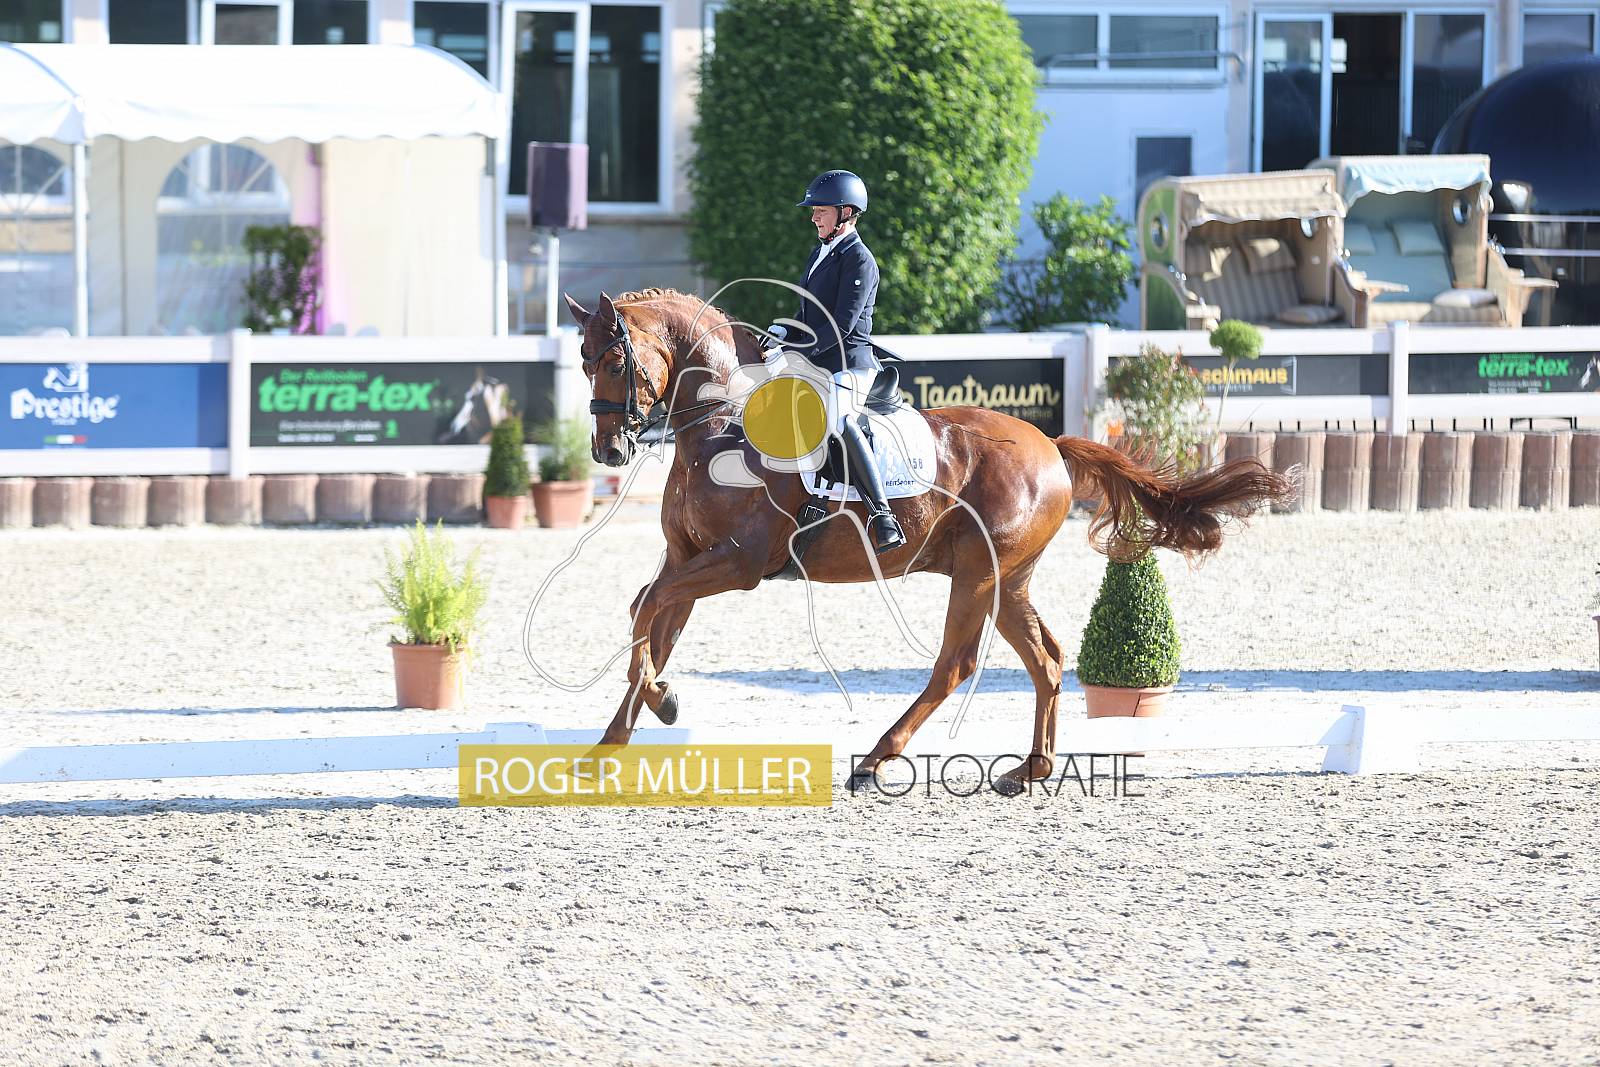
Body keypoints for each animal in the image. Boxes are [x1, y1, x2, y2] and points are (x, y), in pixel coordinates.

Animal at [562, 288, 1292, 793]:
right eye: (583, 361)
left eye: (615, 358)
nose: (608, 450)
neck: (718, 427)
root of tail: (1050, 444)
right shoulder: (687, 558)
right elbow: (649, 618)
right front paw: (614, 739)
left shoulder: (736, 564)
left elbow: (645, 610)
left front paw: (660, 701)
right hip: (1006, 579)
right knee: (1047, 660)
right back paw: (1029, 770)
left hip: (975, 574)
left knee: (955, 666)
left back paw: (876, 760)